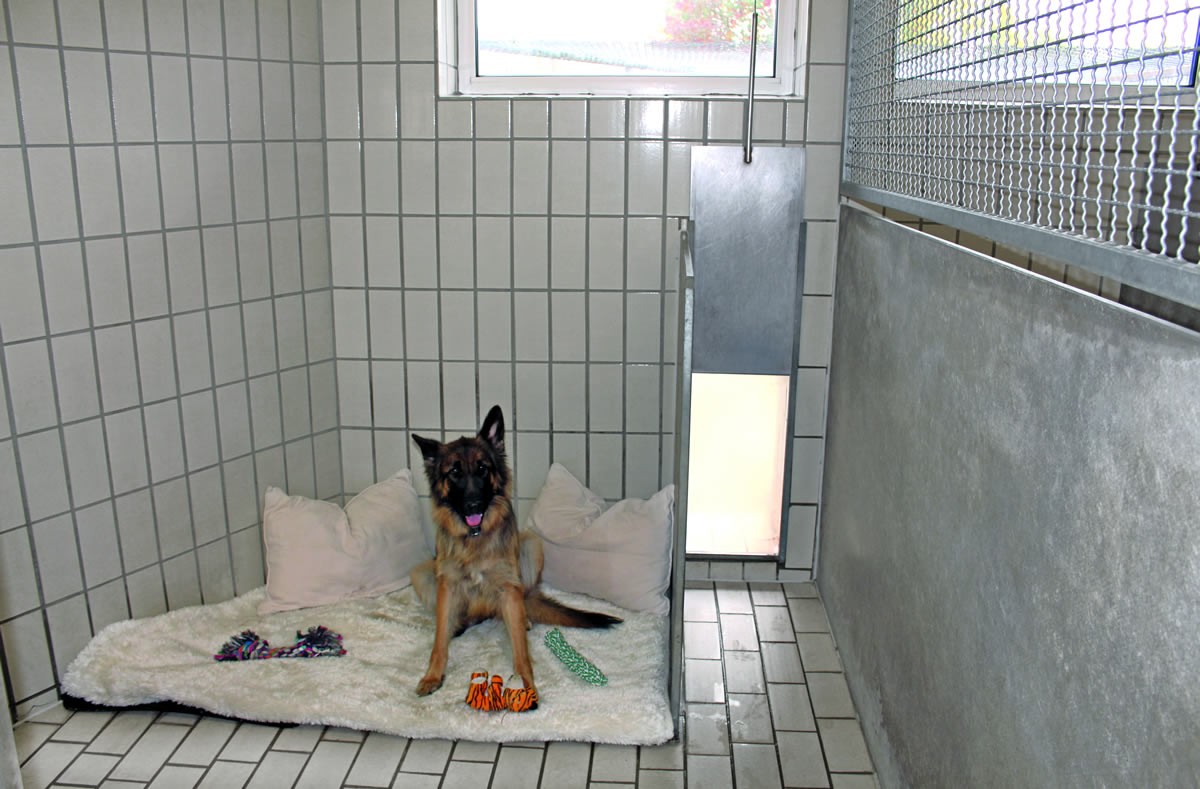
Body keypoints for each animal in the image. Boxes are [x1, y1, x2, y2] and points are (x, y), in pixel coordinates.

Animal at [410, 404, 621, 700]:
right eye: (454, 472)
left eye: (482, 469)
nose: (474, 505)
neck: (475, 540)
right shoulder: (447, 585)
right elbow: (439, 641)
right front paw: (432, 675)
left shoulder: (510, 588)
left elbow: (521, 651)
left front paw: (526, 683)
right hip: (421, 572)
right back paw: (459, 624)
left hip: (532, 545)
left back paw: (525, 620)